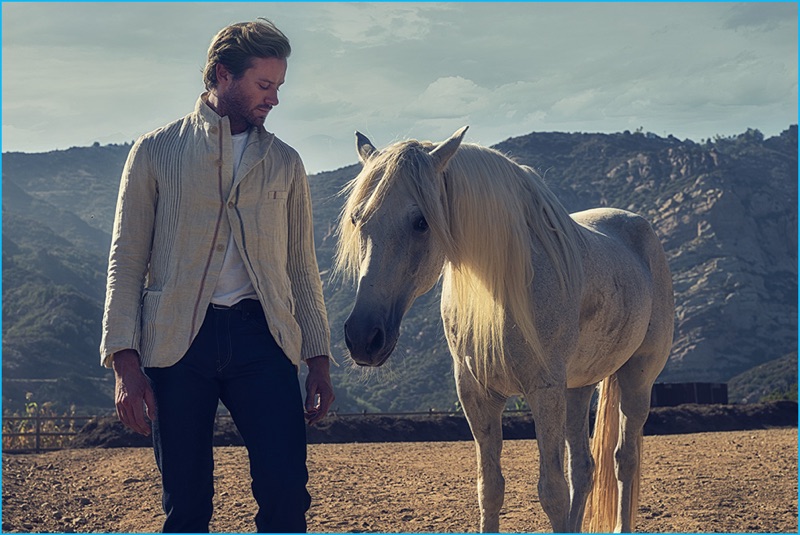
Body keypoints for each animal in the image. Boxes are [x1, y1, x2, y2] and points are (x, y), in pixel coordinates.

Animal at [334, 126, 672, 532]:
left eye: (421, 222)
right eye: (358, 219)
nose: (362, 337)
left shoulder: (544, 391)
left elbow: (552, 492)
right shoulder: (477, 395)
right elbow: (490, 488)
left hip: (637, 379)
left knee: (625, 460)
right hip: (577, 388)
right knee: (584, 467)